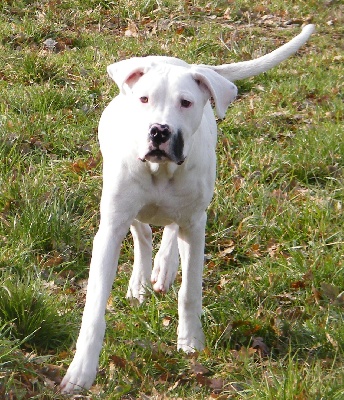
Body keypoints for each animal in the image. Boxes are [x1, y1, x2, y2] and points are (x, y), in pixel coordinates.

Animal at [61, 25, 314, 394]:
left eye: (186, 102)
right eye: (144, 99)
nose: (160, 131)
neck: (161, 171)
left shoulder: (195, 226)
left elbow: (190, 292)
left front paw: (190, 342)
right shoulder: (110, 228)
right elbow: (94, 307)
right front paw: (81, 372)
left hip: (191, 211)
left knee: (170, 230)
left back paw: (164, 267)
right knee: (143, 231)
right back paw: (141, 280)